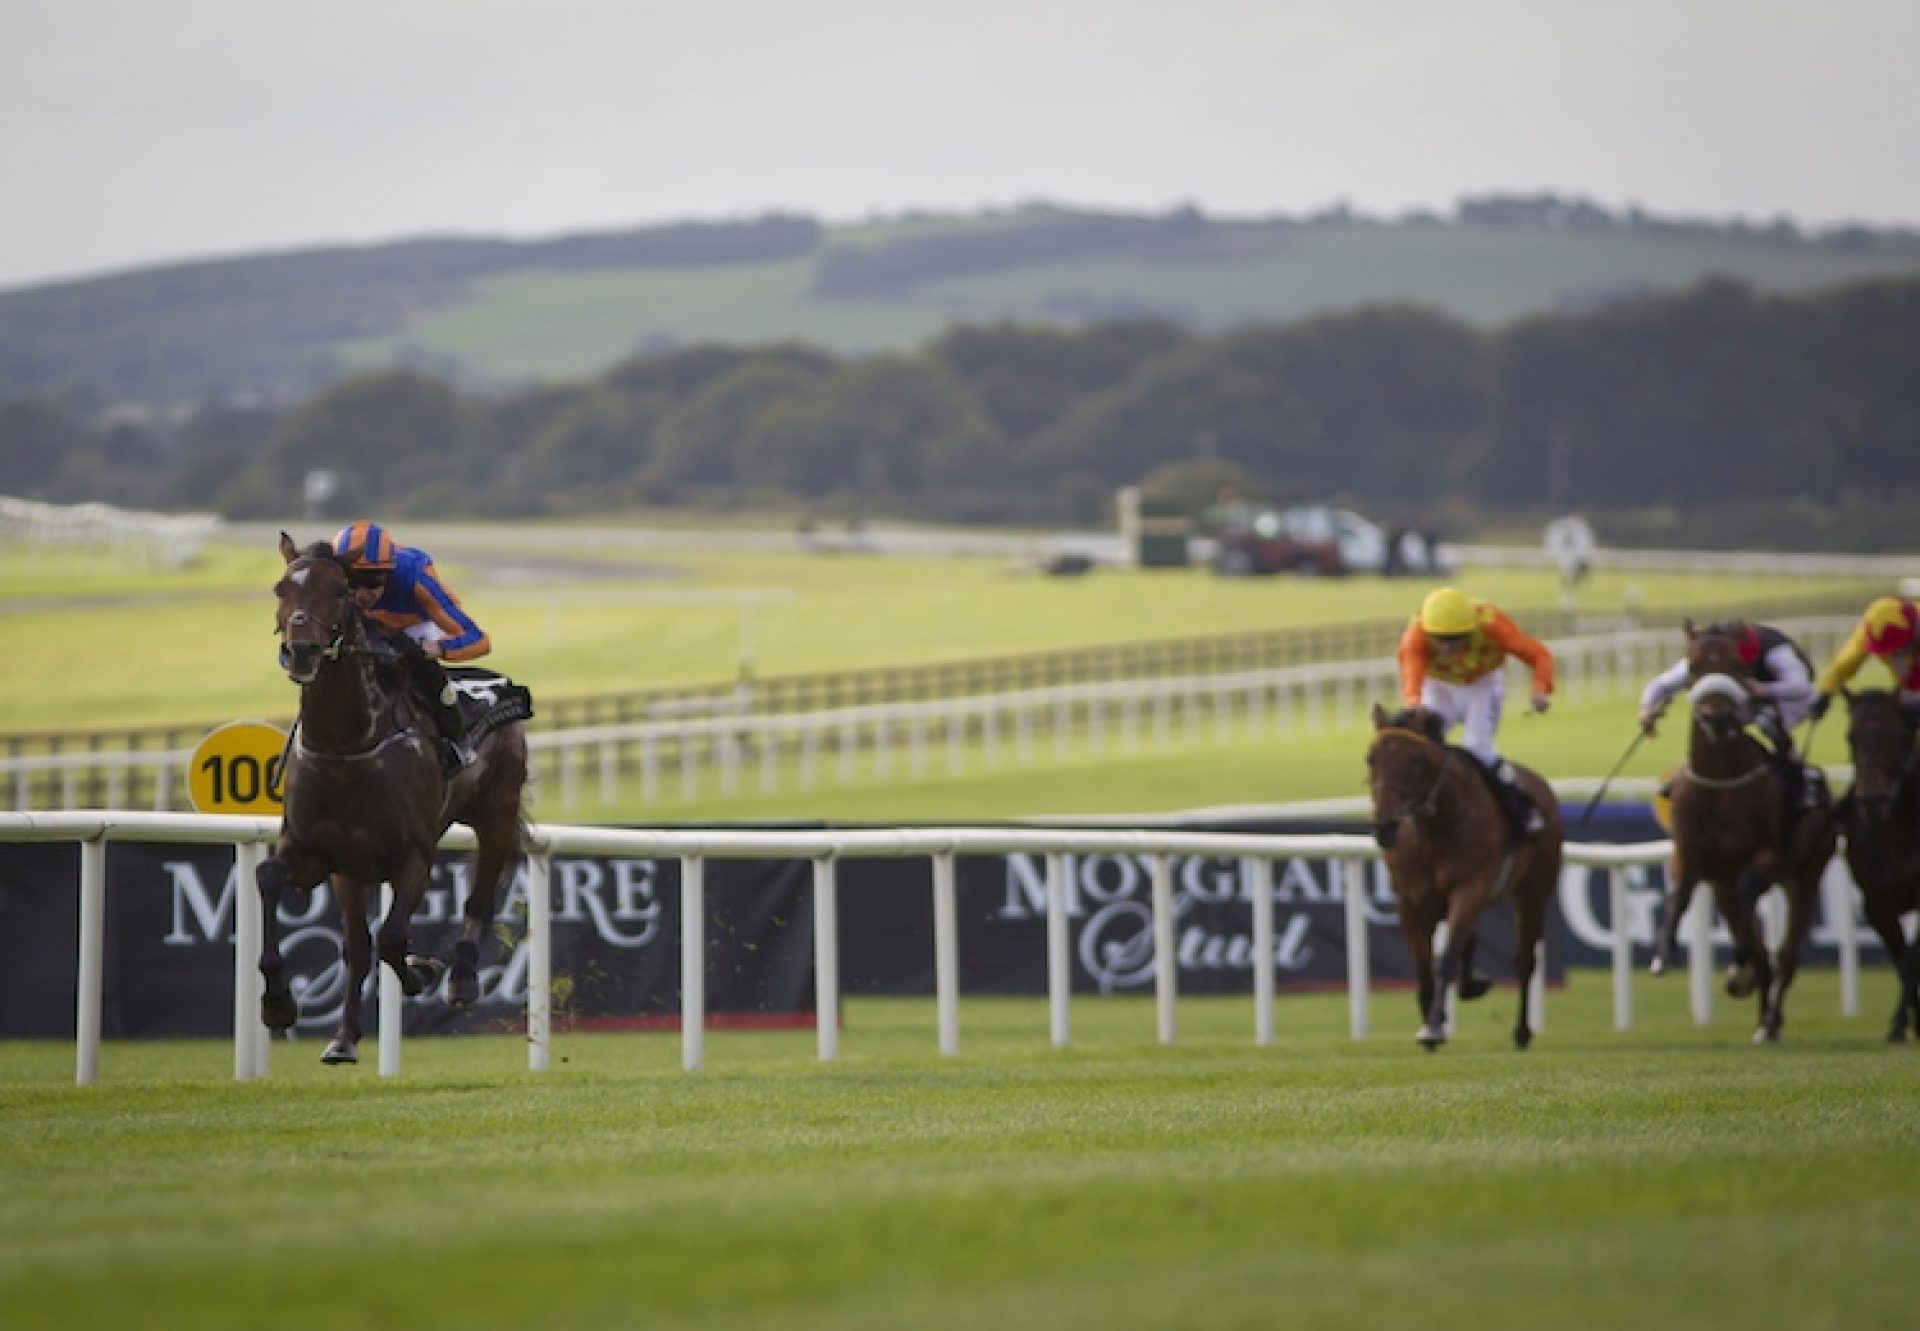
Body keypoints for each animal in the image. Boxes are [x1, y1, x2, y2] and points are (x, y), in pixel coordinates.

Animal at [257, 533, 533, 1067]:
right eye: (282, 588)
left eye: (340, 591)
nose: (301, 650)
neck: (347, 745)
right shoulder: (316, 853)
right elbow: (268, 878)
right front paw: (278, 1003)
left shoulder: (414, 857)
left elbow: (392, 939)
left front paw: (423, 971)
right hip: (352, 871)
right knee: (356, 947)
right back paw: (343, 1038)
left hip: (498, 810)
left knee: (480, 893)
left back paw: (462, 979)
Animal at [1367, 706, 1559, 1052]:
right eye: (1370, 758)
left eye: (1415, 760)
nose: (1384, 826)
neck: (1434, 830)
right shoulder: (1411, 903)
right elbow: (1425, 965)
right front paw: (1432, 1020)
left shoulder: (1469, 888)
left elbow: (1445, 958)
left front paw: (1433, 1026)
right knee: (1471, 936)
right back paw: (1473, 985)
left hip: (1533, 891)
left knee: (1525, 959)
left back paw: (1522, 1031)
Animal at [1643, 622, 1835, 1037]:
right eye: (1693, 666)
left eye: (1735, 665)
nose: (1717, 718)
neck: (1720, 783)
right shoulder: (1692, 857)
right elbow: (1678, 897)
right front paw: (1663, 955)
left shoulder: (1768, 856)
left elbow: (1752, 903)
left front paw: (1738, 965)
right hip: (1723, 885)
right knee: (1762, 952)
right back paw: (1760, 1009)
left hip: (1806, 875)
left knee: (1785, 955)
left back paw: (1770, 1020)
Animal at [1827, 691, 1920, 1044]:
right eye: (1850, 737)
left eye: (1896, 735)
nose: (1871, 799)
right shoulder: (1875, 903)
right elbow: (1901, 957)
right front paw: (1901, 1024)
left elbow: (1910, 959)